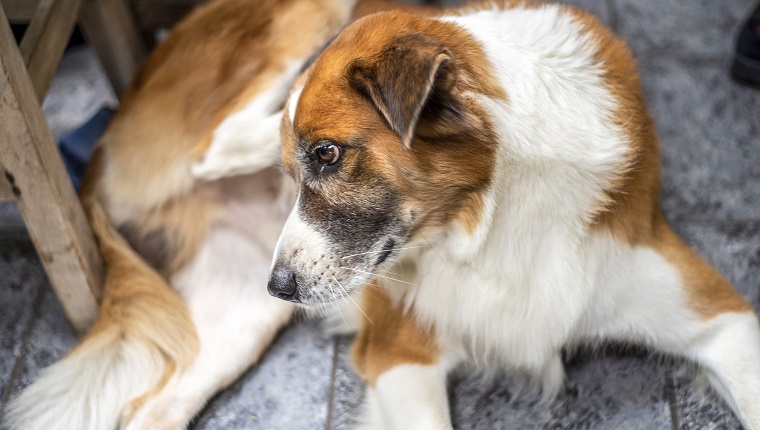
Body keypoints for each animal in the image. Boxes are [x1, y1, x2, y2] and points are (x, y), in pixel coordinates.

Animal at [270, 1, 760, 428]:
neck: (489, 218)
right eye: (293, 171)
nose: (277, 288)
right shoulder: (400, 348)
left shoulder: (722, 317)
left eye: (328, 153)